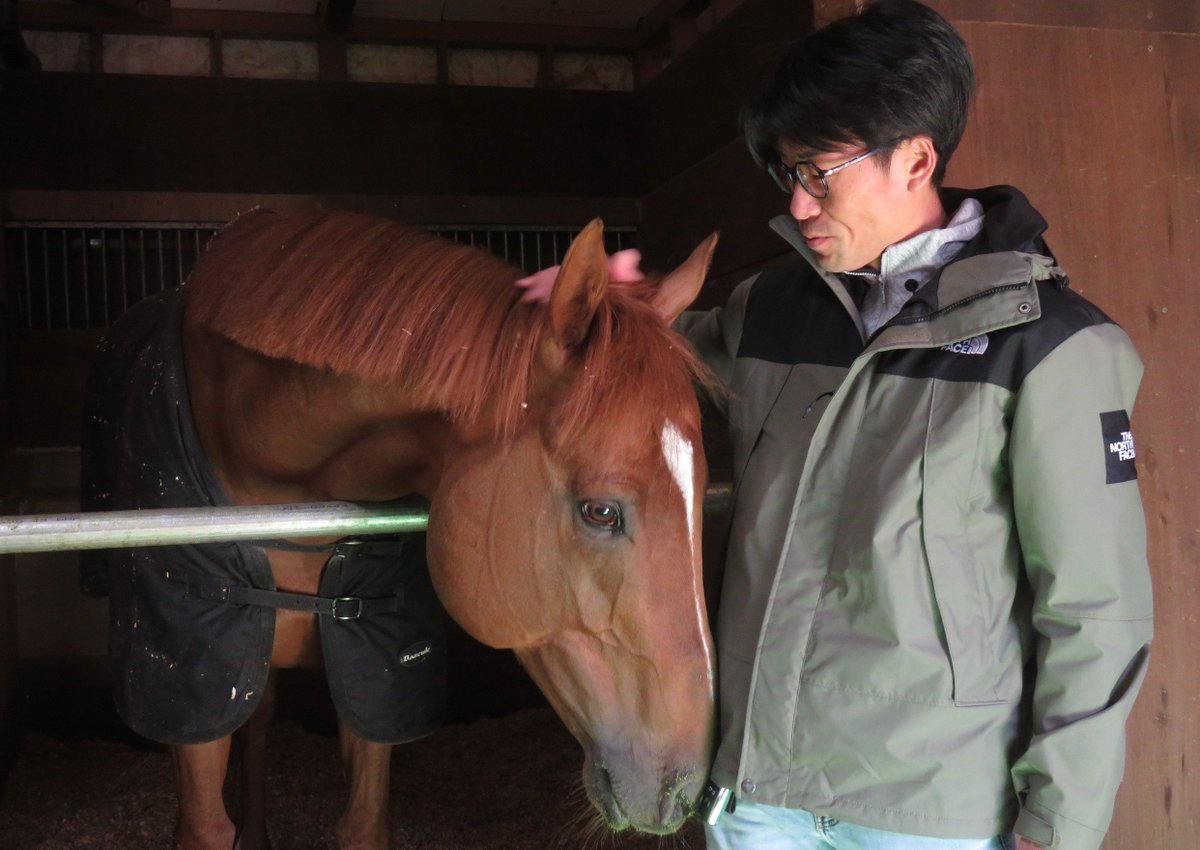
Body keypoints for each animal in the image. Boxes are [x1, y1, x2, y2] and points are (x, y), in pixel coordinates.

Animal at [80, 207, 719, 850]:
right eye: (601, 512)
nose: (684, 788)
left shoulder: (373, 675)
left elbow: (364, 821)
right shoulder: (192, 685)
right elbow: (205, 826)